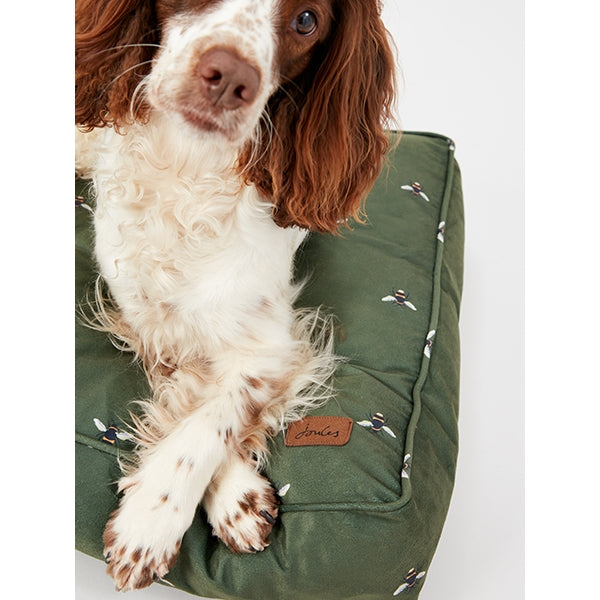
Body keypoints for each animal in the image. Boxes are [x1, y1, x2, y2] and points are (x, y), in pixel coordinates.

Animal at [75, 0, 396, 592]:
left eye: (307, 20)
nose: (229, 78)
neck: (188, 171)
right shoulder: (154, 323)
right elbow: (187, 397)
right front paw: (179, 510)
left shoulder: (266, 341)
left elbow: (212, 417)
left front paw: (156, 517)